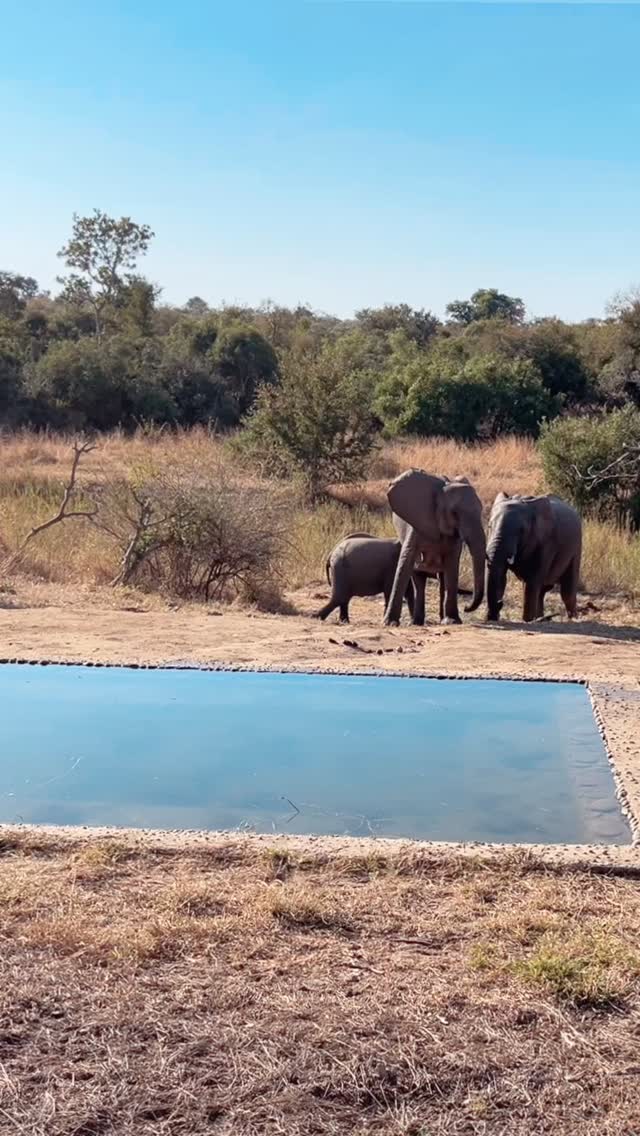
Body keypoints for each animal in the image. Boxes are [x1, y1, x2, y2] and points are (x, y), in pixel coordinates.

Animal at [383, 469, 487, 626]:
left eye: (481, 510)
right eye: (454, 513)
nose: (466, 607)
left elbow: (452, 565)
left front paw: (452, 621)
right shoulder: (417, 525)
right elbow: (406, 562)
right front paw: (389, 623)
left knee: (442, 580)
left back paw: (441, 618)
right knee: (419, 580)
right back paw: (416, 622)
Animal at [485, 492, 582, 622]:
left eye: (521, 531)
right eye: (489, 527)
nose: (500, 603)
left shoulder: (546, 542)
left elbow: (532, 581)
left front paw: (527, 621)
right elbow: (500, 575)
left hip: (576, 549)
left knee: (567, 592)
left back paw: (572, 619)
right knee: (541, 591)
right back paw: (540, 618)